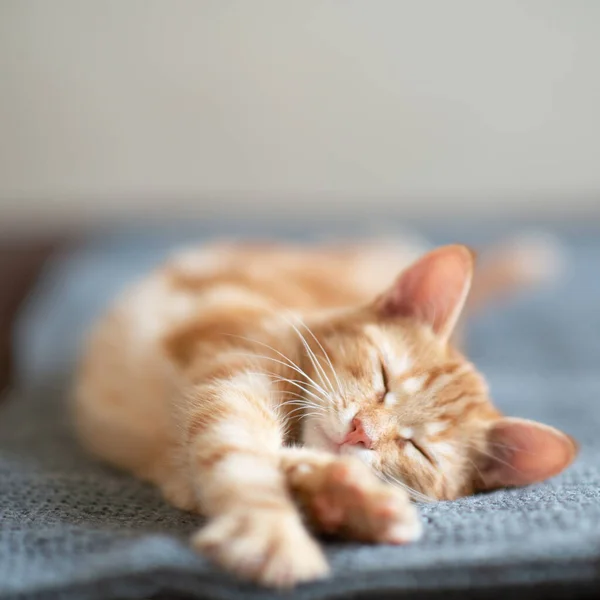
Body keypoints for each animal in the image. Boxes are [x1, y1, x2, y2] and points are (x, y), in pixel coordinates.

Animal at [74, 233, 576, 584]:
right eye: (383, 378)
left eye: (418, 449)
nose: (360, 431)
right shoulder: (232, 372)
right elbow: (245, 455)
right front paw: (270, 528)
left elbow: (282, 461)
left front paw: (344, 498)